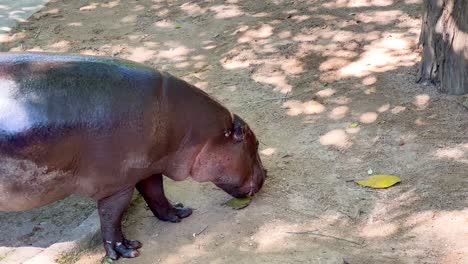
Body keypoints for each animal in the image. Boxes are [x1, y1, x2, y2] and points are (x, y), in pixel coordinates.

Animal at [0, 52, 266, 260]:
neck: (199, 131)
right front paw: (126, 250)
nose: (266, 173)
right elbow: (111, 218)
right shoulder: (117, 186)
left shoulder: (150, 166)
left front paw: (178, 213)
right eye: (256, 144)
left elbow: (156, 193)